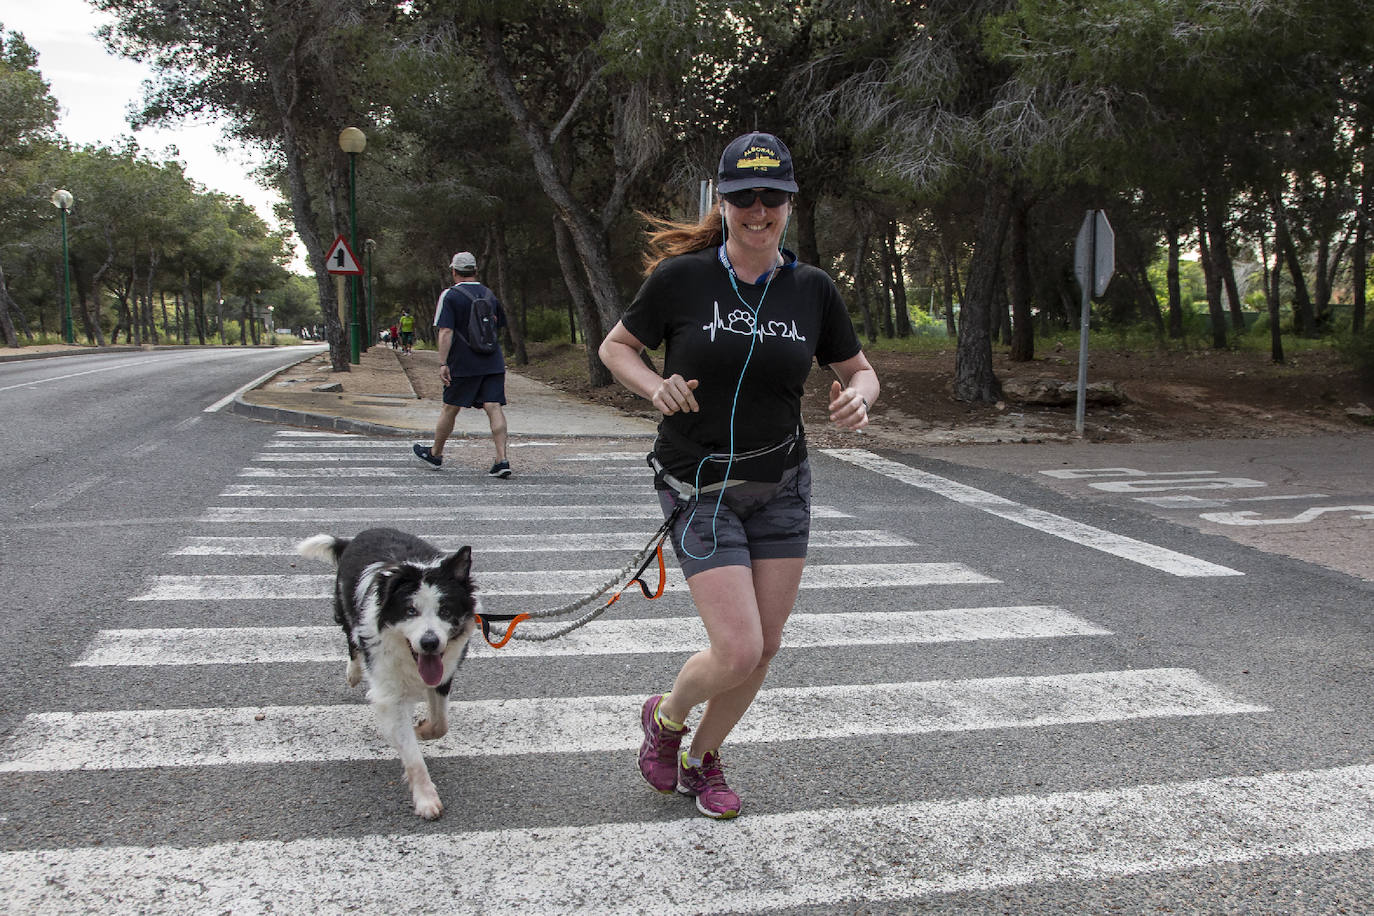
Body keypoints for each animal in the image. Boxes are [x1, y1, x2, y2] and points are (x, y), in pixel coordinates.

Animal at [295, 527, 478, 818]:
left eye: (445, 610)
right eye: (410, 610)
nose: (429, 643)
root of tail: (364, 533)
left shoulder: (443, 673)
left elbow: (441, 724)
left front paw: (422, 729)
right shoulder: (389, 693)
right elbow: (413, 756)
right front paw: (426, 799)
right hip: (345, 606)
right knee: (351, 641)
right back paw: (353, 672)